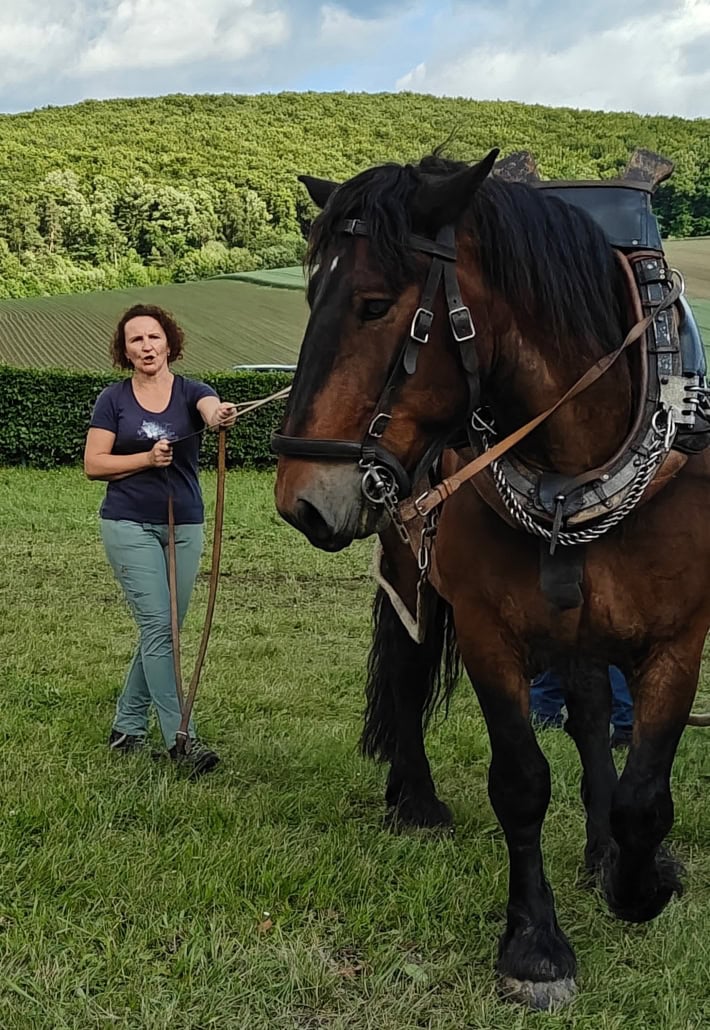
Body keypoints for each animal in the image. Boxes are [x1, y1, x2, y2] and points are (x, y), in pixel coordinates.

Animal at [272, 149, 710, 1009]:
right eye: (310, 297)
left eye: (374, 304)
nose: (299, 496)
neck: (578, 459)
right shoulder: (486, 628)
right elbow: (520, 781)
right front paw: (535, 945)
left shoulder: (680, 635)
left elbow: (644, 793)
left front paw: (637, 877)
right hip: (411, 561)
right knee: (407, 674)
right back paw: (415, 799)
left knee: (586, 711)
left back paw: (601, 848)